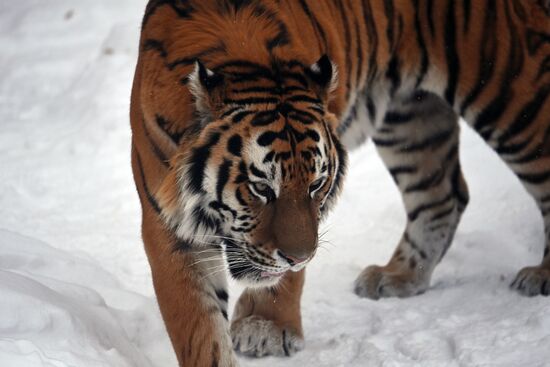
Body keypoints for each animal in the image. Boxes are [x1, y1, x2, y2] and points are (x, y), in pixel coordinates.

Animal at [130, 0, 550, 366]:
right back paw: (399, 276)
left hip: (513, 91)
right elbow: (201, 331)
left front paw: (267, 326)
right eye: (261, 188)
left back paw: (539, 276)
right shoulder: (169, 222)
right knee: (444, 193)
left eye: (316, 185)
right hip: (410, 115)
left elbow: (283, 278)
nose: (299, 258)